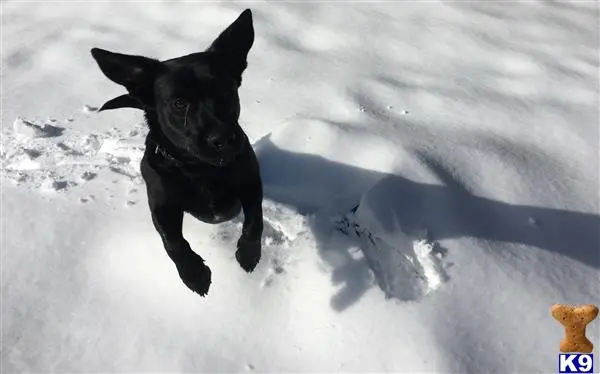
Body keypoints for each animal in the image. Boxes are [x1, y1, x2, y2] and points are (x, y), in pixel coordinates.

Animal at [91, 7, 262, 296]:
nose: (224, 139)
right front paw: (193, 272)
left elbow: (255, 219)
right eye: (179, 103)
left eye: (226, 91)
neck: (201, 170)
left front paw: (249, 252)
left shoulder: (250, 180)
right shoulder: (161, 204)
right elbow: (172, 241)